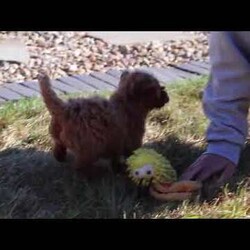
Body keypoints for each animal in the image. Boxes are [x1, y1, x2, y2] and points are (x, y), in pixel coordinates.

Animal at [37, 70, 170, 178]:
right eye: (157, 89)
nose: (167, 96)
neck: (126, 104)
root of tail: (64, 109)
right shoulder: (132, 141)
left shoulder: (116, 144)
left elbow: (115, 159)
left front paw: (117, 170)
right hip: (89, 149)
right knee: (79, 167)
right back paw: (90, 176)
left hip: (59, 136)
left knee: (58, 147)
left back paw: (61, 157)